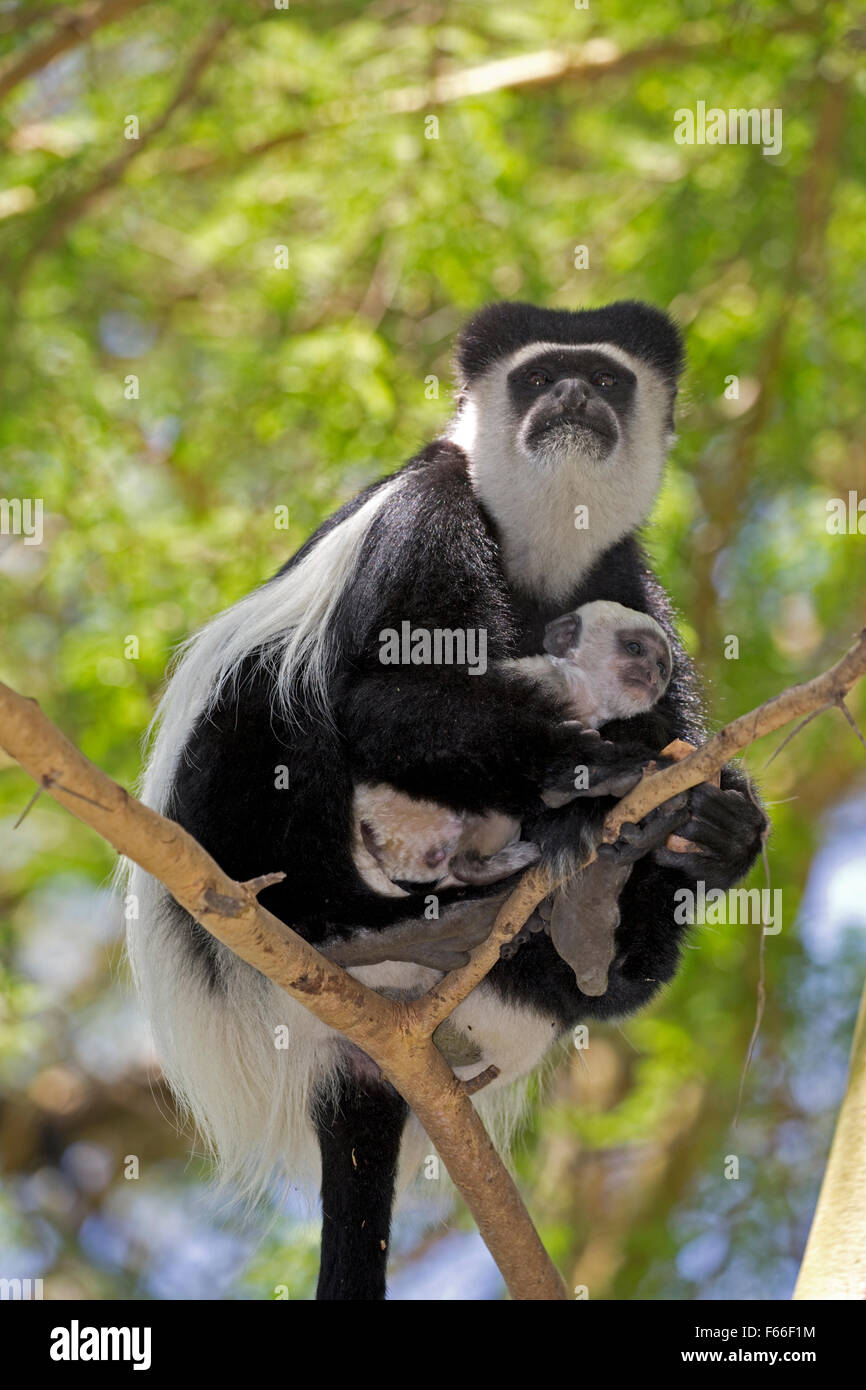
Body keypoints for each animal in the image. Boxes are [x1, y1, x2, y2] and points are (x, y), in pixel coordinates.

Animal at [351, 600, 673, 895]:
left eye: (661, 665)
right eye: (634, 648)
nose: (653, 675)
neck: (581, 694)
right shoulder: (545, 684)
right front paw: (597, 767)